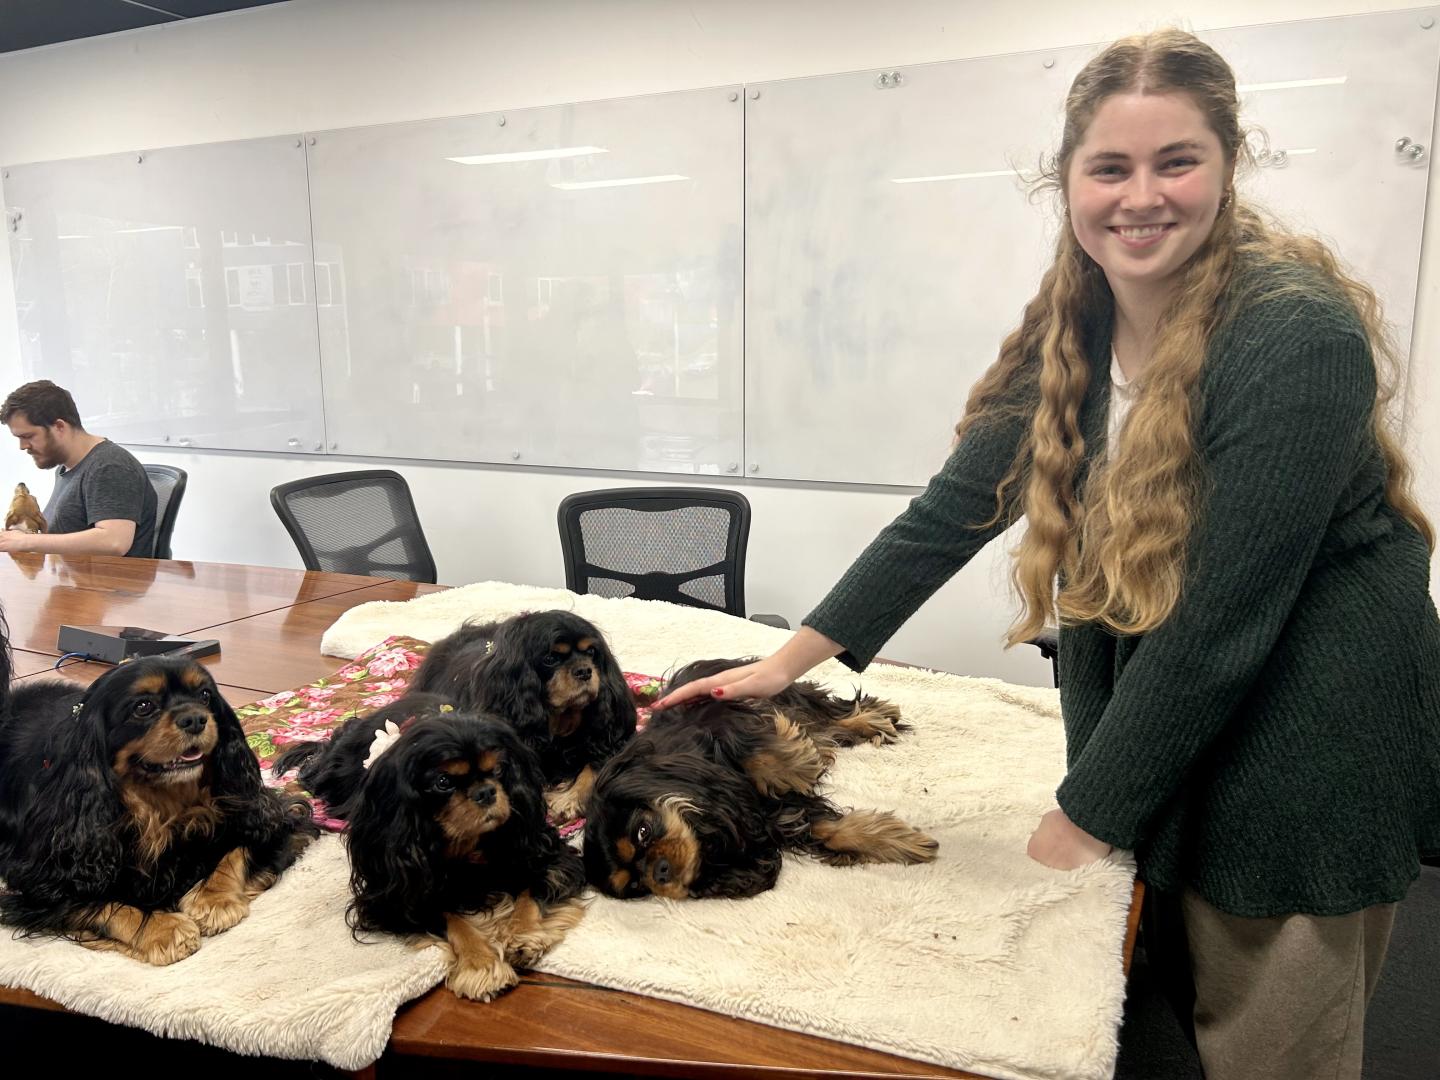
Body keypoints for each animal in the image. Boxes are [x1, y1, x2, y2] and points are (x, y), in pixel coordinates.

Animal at [0, 656, 318, 967]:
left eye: (205, 695)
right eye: (143, 707)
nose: (195, 719)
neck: (162, 805)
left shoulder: (276, 816)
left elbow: (239, 848)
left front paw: (214, 899)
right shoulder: (43, 880)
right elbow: (98, 905)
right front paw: (163, 929)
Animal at [578, 659, 938, 904]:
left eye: (642, 831)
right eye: (637, 885)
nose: (659, 872)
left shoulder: (719, 721)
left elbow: (758, 755)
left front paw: (800, 763)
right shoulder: (774, 819)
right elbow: (827, 830)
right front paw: (899, 841)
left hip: (768, 689)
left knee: (826, 714)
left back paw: (872, 720)